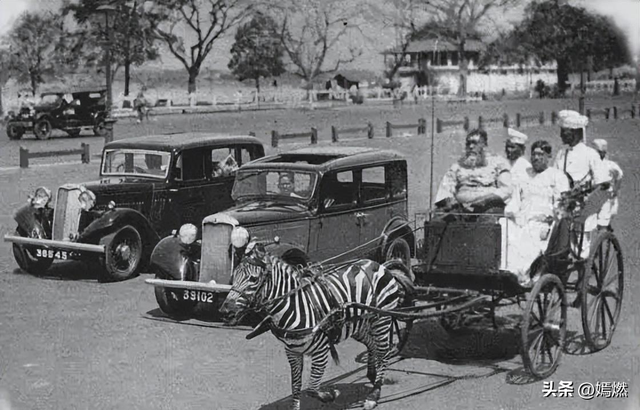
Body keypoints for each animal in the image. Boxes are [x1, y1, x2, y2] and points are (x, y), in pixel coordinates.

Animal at [219, 242, 416, 410]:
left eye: (253, 279)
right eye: (233, 277)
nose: (225, 312)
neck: (296, 306)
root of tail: (380, 265)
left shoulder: (321, 351)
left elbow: (312, 388)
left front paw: (331, 394)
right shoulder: (292, 352)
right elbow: (296, 386)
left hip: (382, 320)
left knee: (383, 352)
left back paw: (374, 395)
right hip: (357, 325)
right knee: (371, 344)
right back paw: (372, 375)